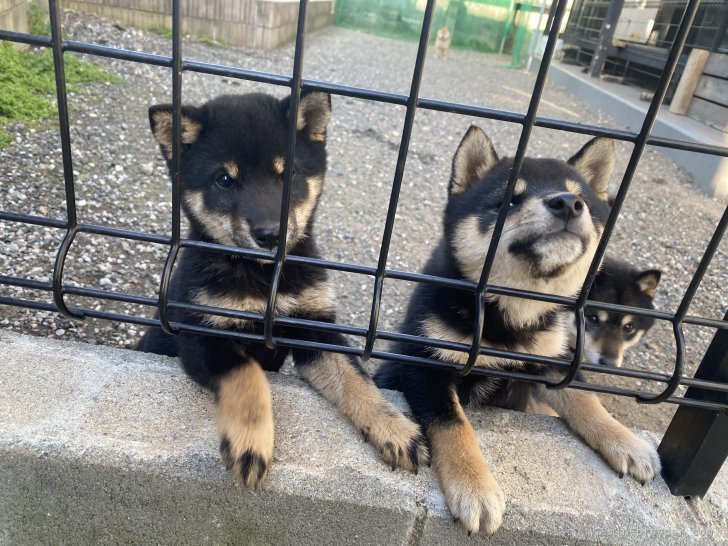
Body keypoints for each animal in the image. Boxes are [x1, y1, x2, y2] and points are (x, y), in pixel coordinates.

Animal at [136, 91, 426, 486]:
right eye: (224, 180)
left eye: (288, 173)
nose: (270, 234)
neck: (264, 278)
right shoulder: (202, 336)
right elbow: (248, 377)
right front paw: (251, 442)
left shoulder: (315, 329)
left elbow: (356, 379)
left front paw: (395, 428)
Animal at [378, 126, 664, 532]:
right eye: (508, 201)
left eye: (582, 199)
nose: (567, 203)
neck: (510, 315)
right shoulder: (425, 364)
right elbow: (454, 425)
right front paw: (475, 487)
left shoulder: (552, 362)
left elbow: (586, 400)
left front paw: (626, 441)